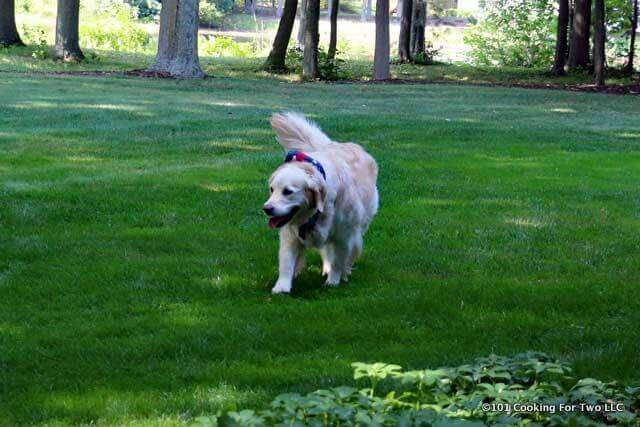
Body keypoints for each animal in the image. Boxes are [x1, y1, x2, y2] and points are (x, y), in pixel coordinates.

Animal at [264, 113, 380, 294]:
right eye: (271, 189)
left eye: (288, 191)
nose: (267, 209)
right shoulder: (290, 235)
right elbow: (286, 261)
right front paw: (282, 286)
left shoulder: (343, 235)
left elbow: (338, 260)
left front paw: (333, 281)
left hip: (358, 226)